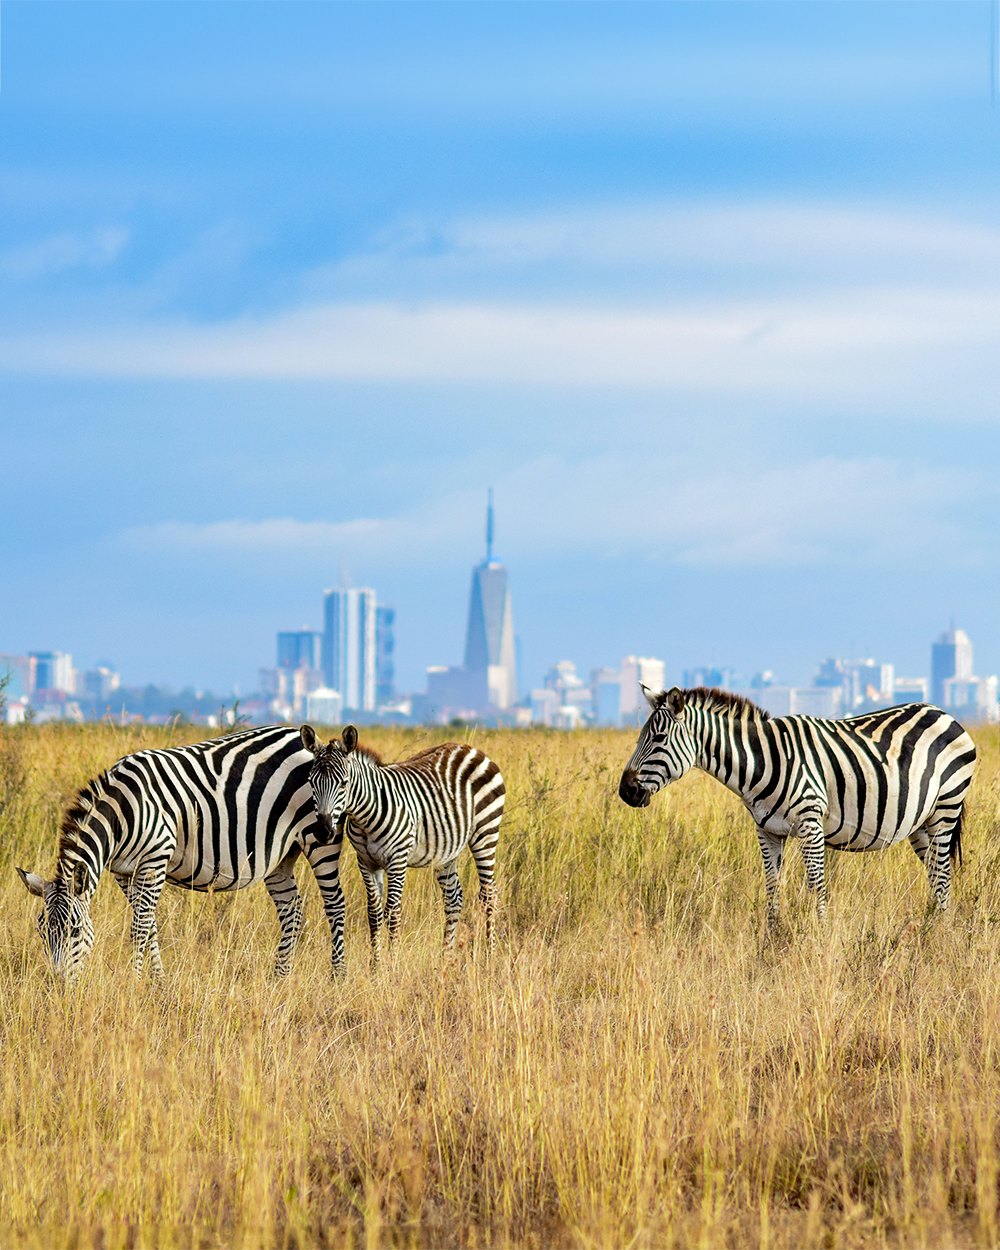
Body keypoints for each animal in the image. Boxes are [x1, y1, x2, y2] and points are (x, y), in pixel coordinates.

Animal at [16, 725, 345, 983]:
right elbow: (150, 926)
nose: (58, 985)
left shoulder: (155, 859)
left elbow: (140, 927)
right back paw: (279, 977)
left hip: (320, 837)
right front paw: (158, 982)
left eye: (75, 931)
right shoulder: (124, 872)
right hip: (281, 854)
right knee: (293, 910)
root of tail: (305, 739)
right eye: (41, 932)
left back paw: (337, 977)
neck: (123, 813)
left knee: (335, 904)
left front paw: (134, 983)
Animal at [299, 724, 505, 964]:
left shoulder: (397, 861)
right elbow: (374, 913)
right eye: (311, 782)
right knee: (453, 899)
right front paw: (375, 966)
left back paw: (490, 957)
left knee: (489, 894)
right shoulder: (366, 862)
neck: (365, 816)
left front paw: (392, 965)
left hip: (486, 833)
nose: (323, 832)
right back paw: (445, 958)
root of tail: (469, 748)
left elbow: (393, 913)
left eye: (344, 783)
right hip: (447, 849)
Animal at [618, 686, 977, 919]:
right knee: (936, 876)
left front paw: (819, 943)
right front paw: (771, 946)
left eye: (659, 739)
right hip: (920, 823)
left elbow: (817, 888)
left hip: (946, 808)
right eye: (639, 737)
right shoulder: (767, 832)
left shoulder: (810, 824)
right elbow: (772, 888)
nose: (625, 791)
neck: (762, 762)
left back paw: (939, 936)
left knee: (943, 875)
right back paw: (932, 930)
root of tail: (944, 713)